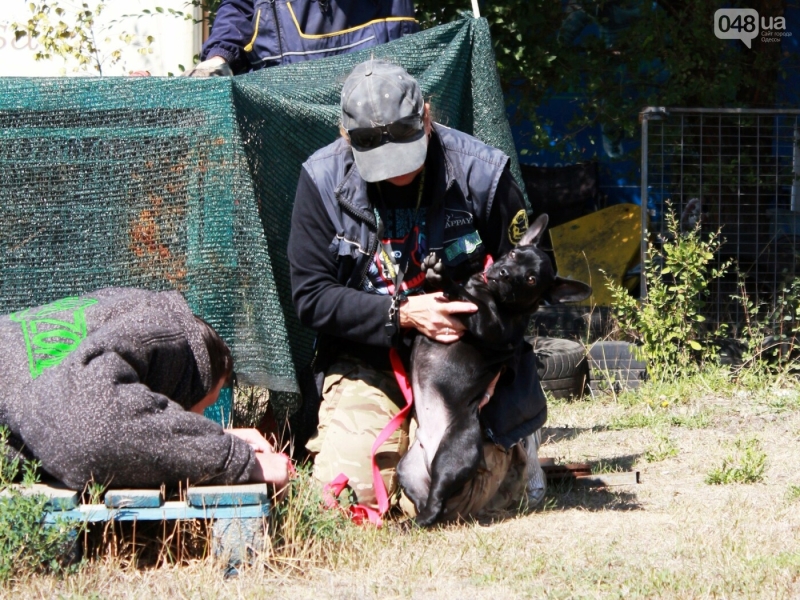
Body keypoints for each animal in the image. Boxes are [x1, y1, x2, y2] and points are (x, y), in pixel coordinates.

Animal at [396, 214, 592, 524]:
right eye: (513, 255)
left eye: (531, 279)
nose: (505, 273)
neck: (488, 290)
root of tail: (430, 445)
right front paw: (429, 279)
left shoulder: (488, 323)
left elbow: (469, 301)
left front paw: (445, 278)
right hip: (407, 469)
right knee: (427, 497)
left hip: (455, 452)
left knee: (437, 500)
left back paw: (418, 521)